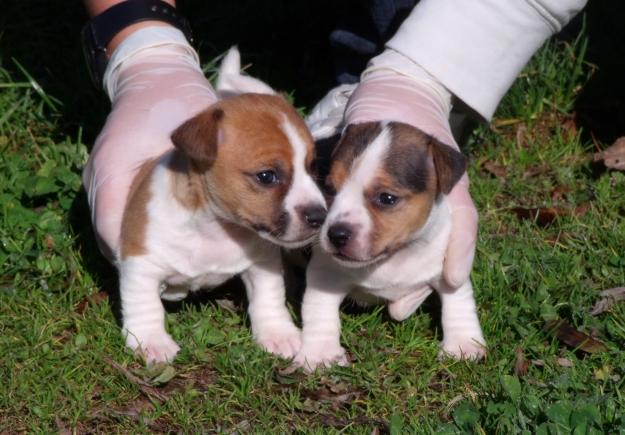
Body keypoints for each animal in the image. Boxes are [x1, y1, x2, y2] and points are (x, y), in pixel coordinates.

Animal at [115, 47, 326, 362]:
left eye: (312, 168)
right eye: (267, 176)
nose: (319, 216)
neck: (214, 228)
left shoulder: (262, 262)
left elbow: (268, 298)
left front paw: (277, 333)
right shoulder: (140, 263)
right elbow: (144, 304)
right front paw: (150, 340)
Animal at [294, 122, 488, 372]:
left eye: (386, 198)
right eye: (329, 188)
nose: (336, 234)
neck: (394, 256)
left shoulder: (449, 265)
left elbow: (458, 300)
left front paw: (463, 344)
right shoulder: (325, 272)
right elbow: (318, 308)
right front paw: (320, 353)